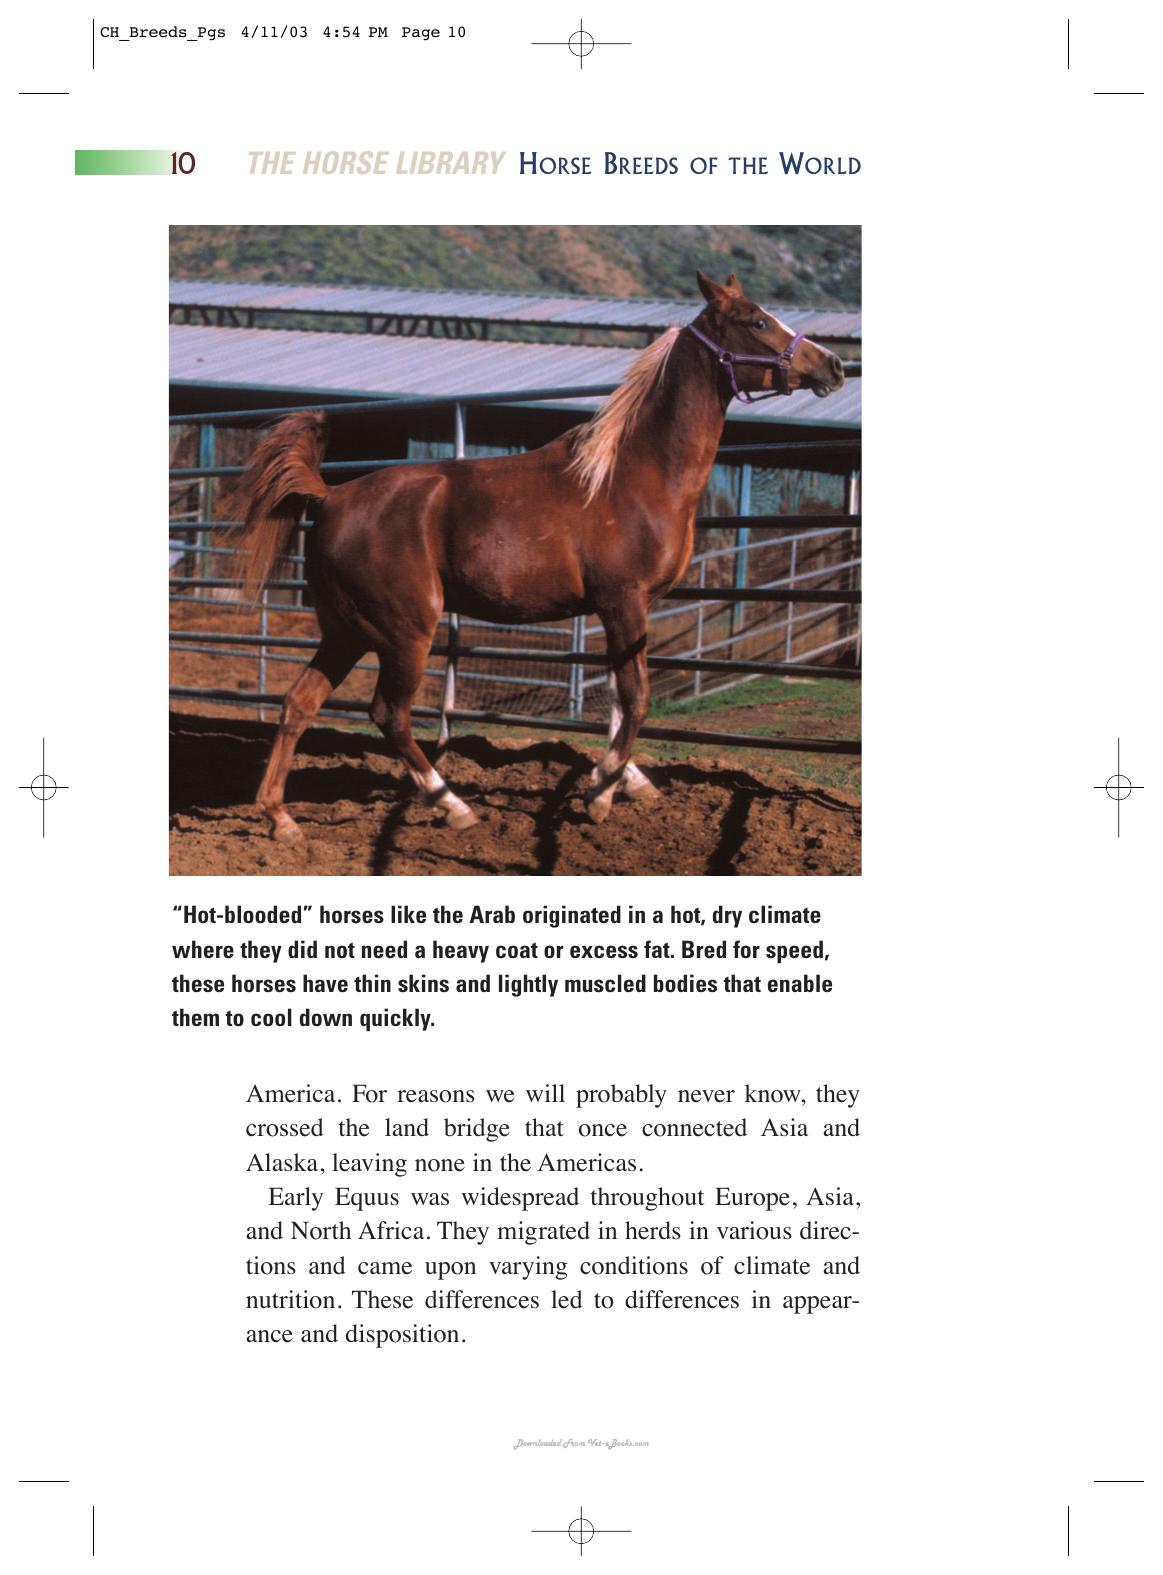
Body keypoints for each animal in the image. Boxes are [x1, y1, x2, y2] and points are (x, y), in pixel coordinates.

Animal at [230, 270, 844, 842]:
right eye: (757, 321)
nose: (834, 366)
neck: (631, 474)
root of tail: (332, 495)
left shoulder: (622, 611)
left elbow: (617, 697)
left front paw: (622, 781)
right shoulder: (624, 601)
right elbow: (637, 698)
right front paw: (600, 794)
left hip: (346, 631)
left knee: (298, 703)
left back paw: (281, 818)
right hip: (404, 631)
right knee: (389, 714)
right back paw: (453, 807)